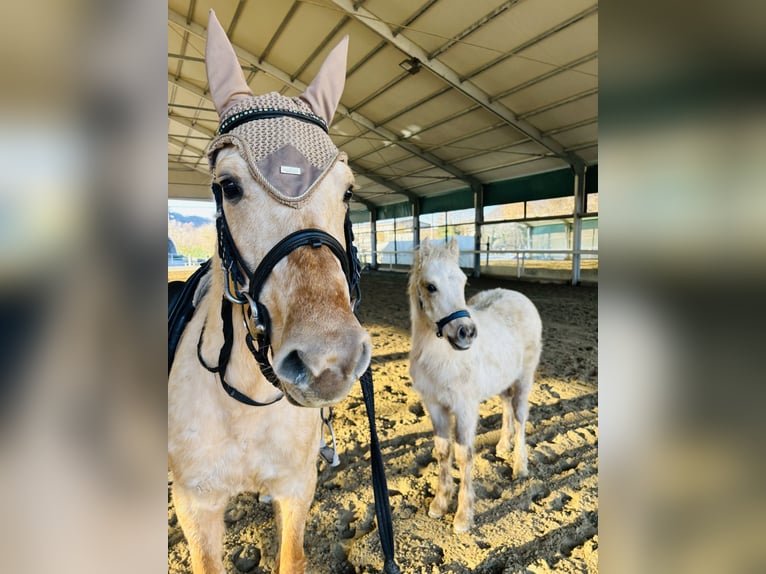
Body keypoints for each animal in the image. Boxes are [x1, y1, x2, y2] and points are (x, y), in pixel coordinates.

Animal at [168, 11, 371, 573]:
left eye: (347, 190)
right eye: (228, 186)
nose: (328, 362)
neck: (247, 406)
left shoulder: (297, 489)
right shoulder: (197, 508)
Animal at [408, 238, 542, 532]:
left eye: (463, 281)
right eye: (430, 286)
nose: (466, 333)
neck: (443, 355)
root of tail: (518, 296)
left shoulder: (465, 408)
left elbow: (463, 455)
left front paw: (463, 517)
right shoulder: (435, 405)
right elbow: (442, 451)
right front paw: (439, 504)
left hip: (524, 379)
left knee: (520, 417)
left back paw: (520, 467)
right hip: (503, 381)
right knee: (506, 407)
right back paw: (503, 445)